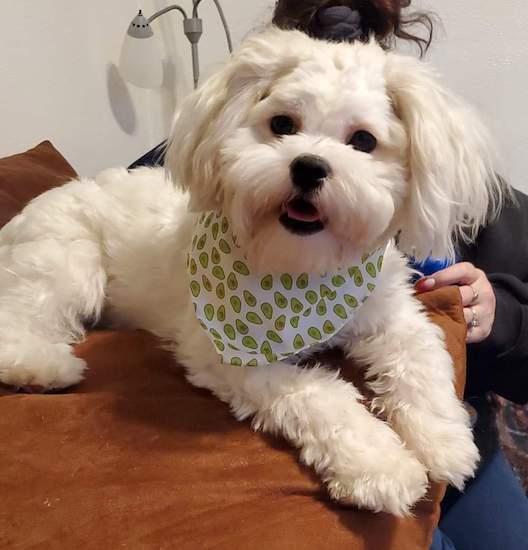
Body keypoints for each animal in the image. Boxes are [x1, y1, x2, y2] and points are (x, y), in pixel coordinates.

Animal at [0, 30, 506, 516]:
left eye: (364, 141)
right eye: (282, 124)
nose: (308, 167)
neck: (302, 269)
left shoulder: (391, 314)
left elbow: (422, 360)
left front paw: (444, 440)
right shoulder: (227, 357)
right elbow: (322, 396)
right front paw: (380, 465)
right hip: (68, 263)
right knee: (20, 320)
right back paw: (43, 368)